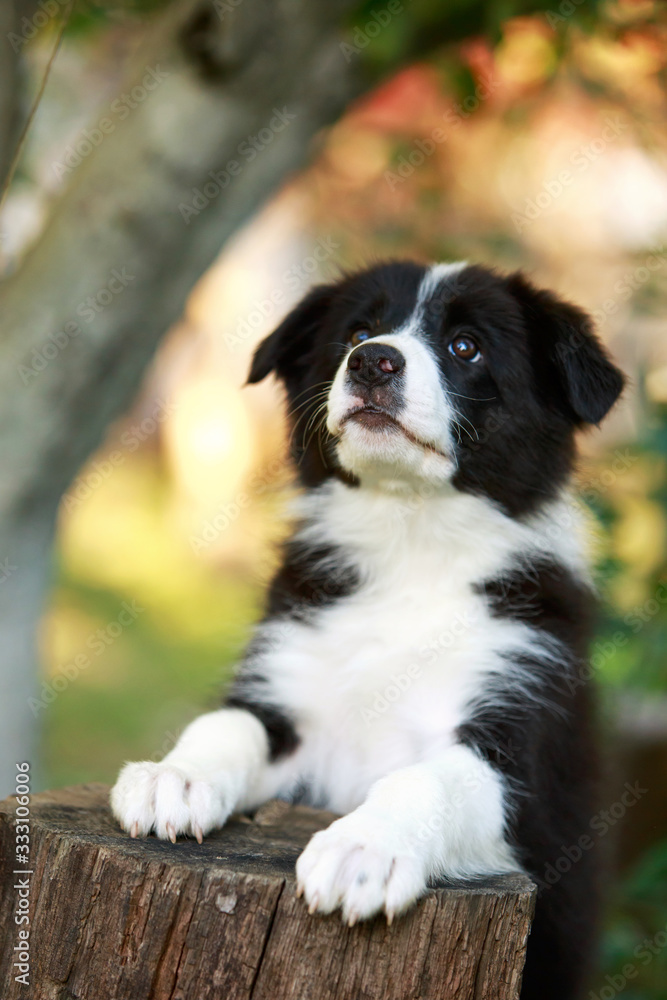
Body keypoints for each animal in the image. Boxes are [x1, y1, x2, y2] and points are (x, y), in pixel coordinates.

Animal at [111, 260, 628, 1000]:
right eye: (357, 332)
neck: (409, 535)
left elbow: (426, 779)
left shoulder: (522, 754)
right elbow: (225, 724)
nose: (373, 361)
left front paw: (363, 848)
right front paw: (173, 777)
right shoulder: (288, 685)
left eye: (466, 346)